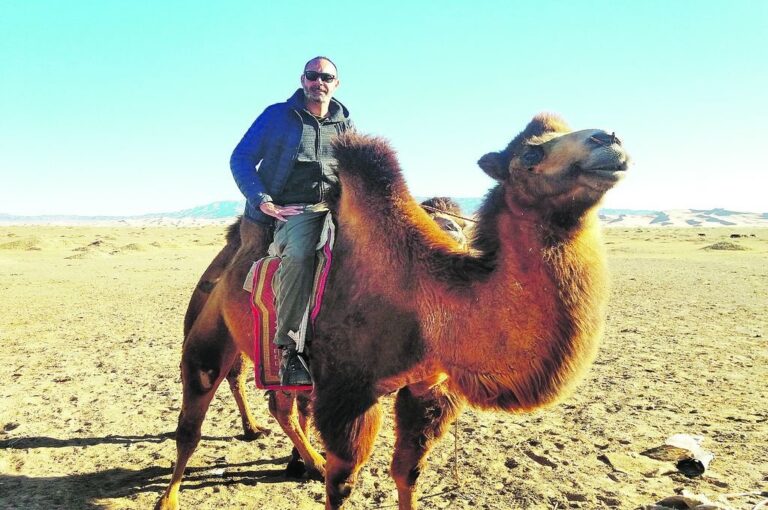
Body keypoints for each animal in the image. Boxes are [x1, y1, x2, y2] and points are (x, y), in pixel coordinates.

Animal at [155, 113, 628, 510]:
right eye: (530, 154)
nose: (610, 138)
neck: (427, 300)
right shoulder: (349, 393)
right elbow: (342, 484)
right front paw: (327, 474)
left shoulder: (428, 389)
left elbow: (409, 473)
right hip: (209, 326)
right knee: (194, 414)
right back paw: (172, 497)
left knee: (282, 404)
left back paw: (299, 459)